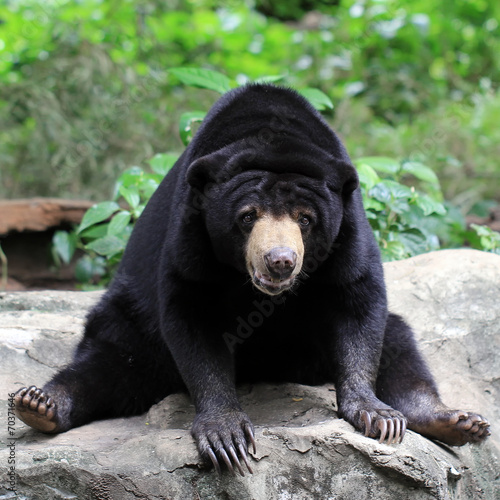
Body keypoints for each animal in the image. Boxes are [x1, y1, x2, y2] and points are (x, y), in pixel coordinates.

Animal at [14, 84, 488, 474]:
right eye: (247, 217)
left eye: (305, 219)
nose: (280, 261)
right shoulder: (191, 229)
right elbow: (191, 312)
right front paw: (227, 437)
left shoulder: (349, 228)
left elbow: (359, 297)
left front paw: (377, 416)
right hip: (133, 324)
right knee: (109, 364)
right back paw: (39, 404)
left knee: (398, 341)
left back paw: (456, 422)